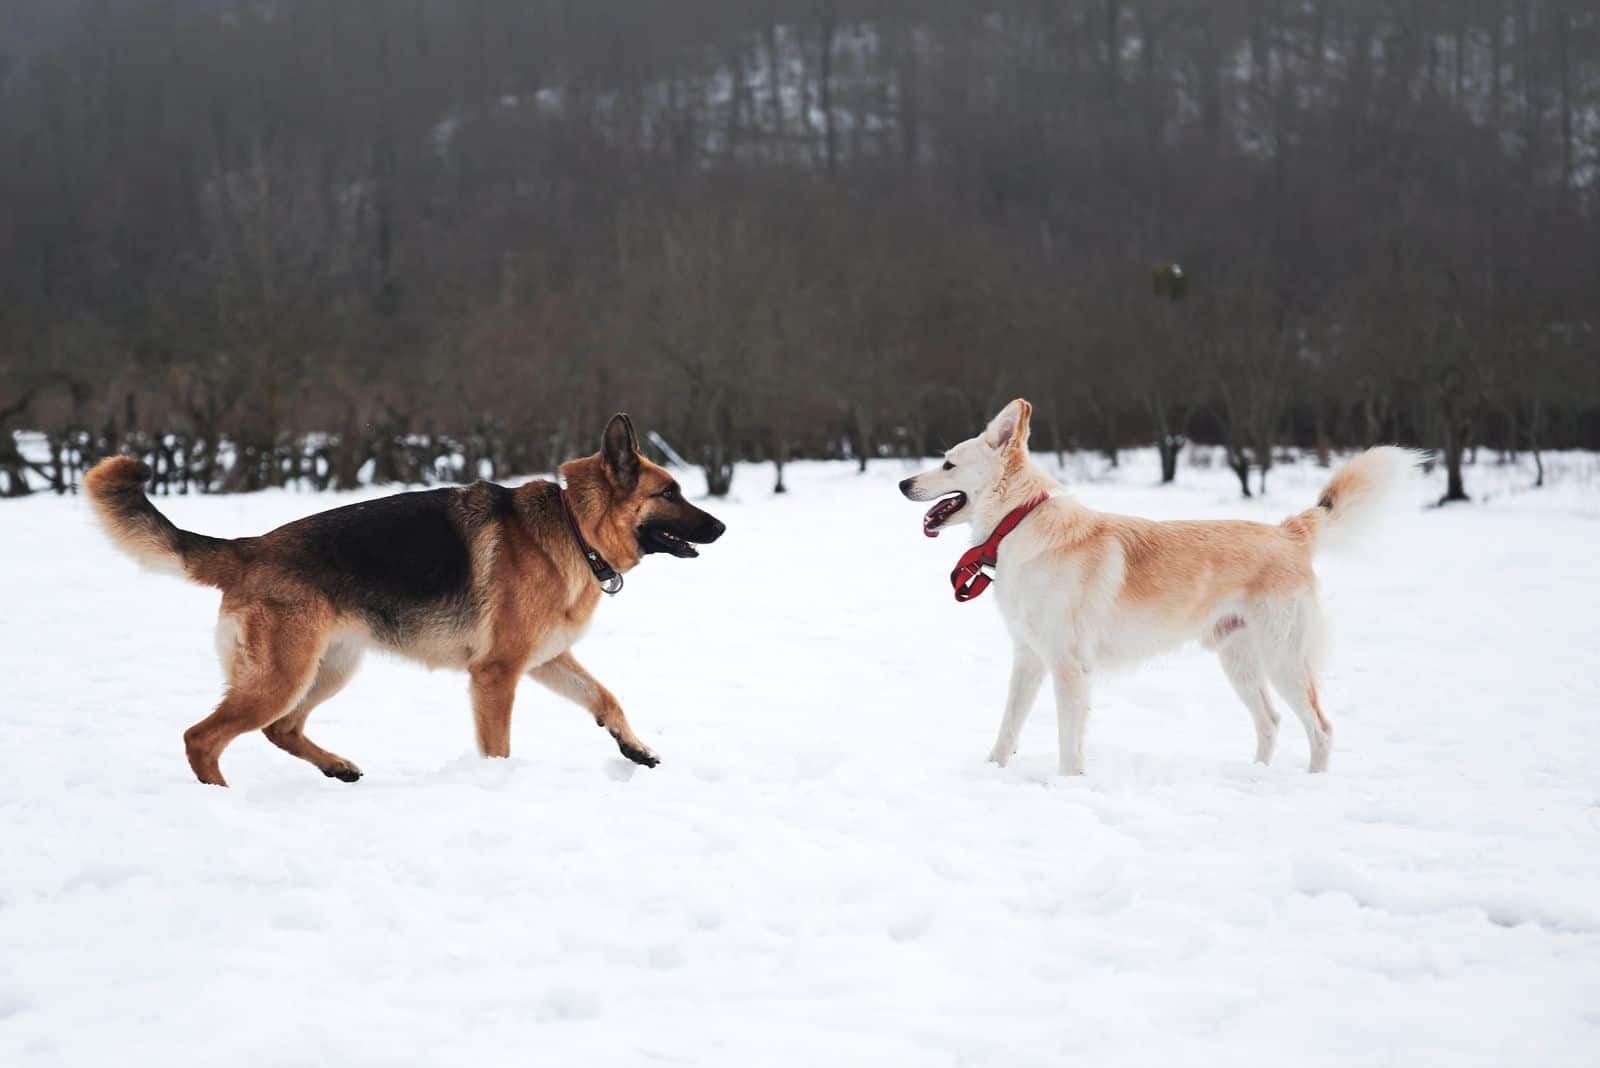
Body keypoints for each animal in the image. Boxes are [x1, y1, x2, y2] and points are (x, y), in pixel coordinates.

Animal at [81, 415, 720, 783]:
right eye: (670, 492)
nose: (722, 527)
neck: (572, 526)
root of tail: (248, 547)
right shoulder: (497, 674)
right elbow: (499, 747)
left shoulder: (545, 660)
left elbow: (605, 698)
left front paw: (635, 749)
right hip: (283, 676)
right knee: (203, 737)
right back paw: (221, 798)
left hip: (330, 668)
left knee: (279, 730)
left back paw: (337, 768)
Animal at [902, 399, 1414, 777]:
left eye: (947, 464)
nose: (904, 483)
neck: (1018, 523)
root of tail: (1290, 532)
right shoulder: (1029, 658)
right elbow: (1008, 729)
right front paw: (993, 772)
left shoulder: (1068, 668)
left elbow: (1069, 745)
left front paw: (1068, 785)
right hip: (1240, 663)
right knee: (1270, 721)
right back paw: (1257, 776)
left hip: (1282, 660)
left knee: (1321, 729)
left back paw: (1312, 783)